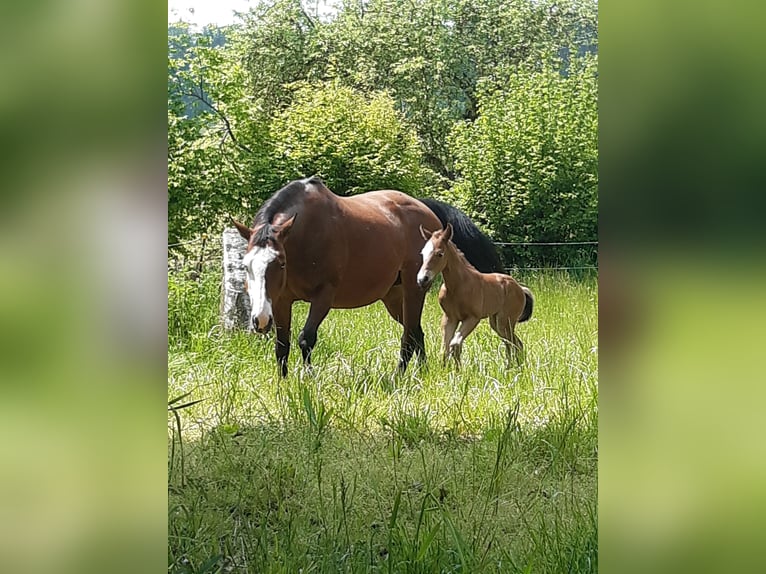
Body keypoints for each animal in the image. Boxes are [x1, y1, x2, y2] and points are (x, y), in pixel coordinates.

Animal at [231, 177, 502, 376]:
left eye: (280, 263)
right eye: (246, 265)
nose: (259, 320)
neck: (305, 235)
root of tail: (426, 210)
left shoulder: (323, 297)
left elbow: (306, 339)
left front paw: (308, 379)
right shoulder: (280, 301)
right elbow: (282, 345)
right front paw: (284, 383)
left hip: (414, 290)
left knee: (409, 336)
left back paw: (399, 376)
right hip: (394, 297)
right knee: (416, 331)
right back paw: (421, 373)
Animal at [416, 223, 534, 367]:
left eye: (440, 254)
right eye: (422, 253)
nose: (422, 279)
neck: (457, 286)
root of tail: (520, 288)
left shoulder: (473, 318)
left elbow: (455, 343)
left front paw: (459, 370)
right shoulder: (450, 319)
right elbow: (445, 349)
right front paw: (447, 370)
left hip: (505, 321)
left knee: (516, 344)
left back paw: (517, 368)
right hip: (496, 322)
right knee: (511, 344)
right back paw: (511, 367)